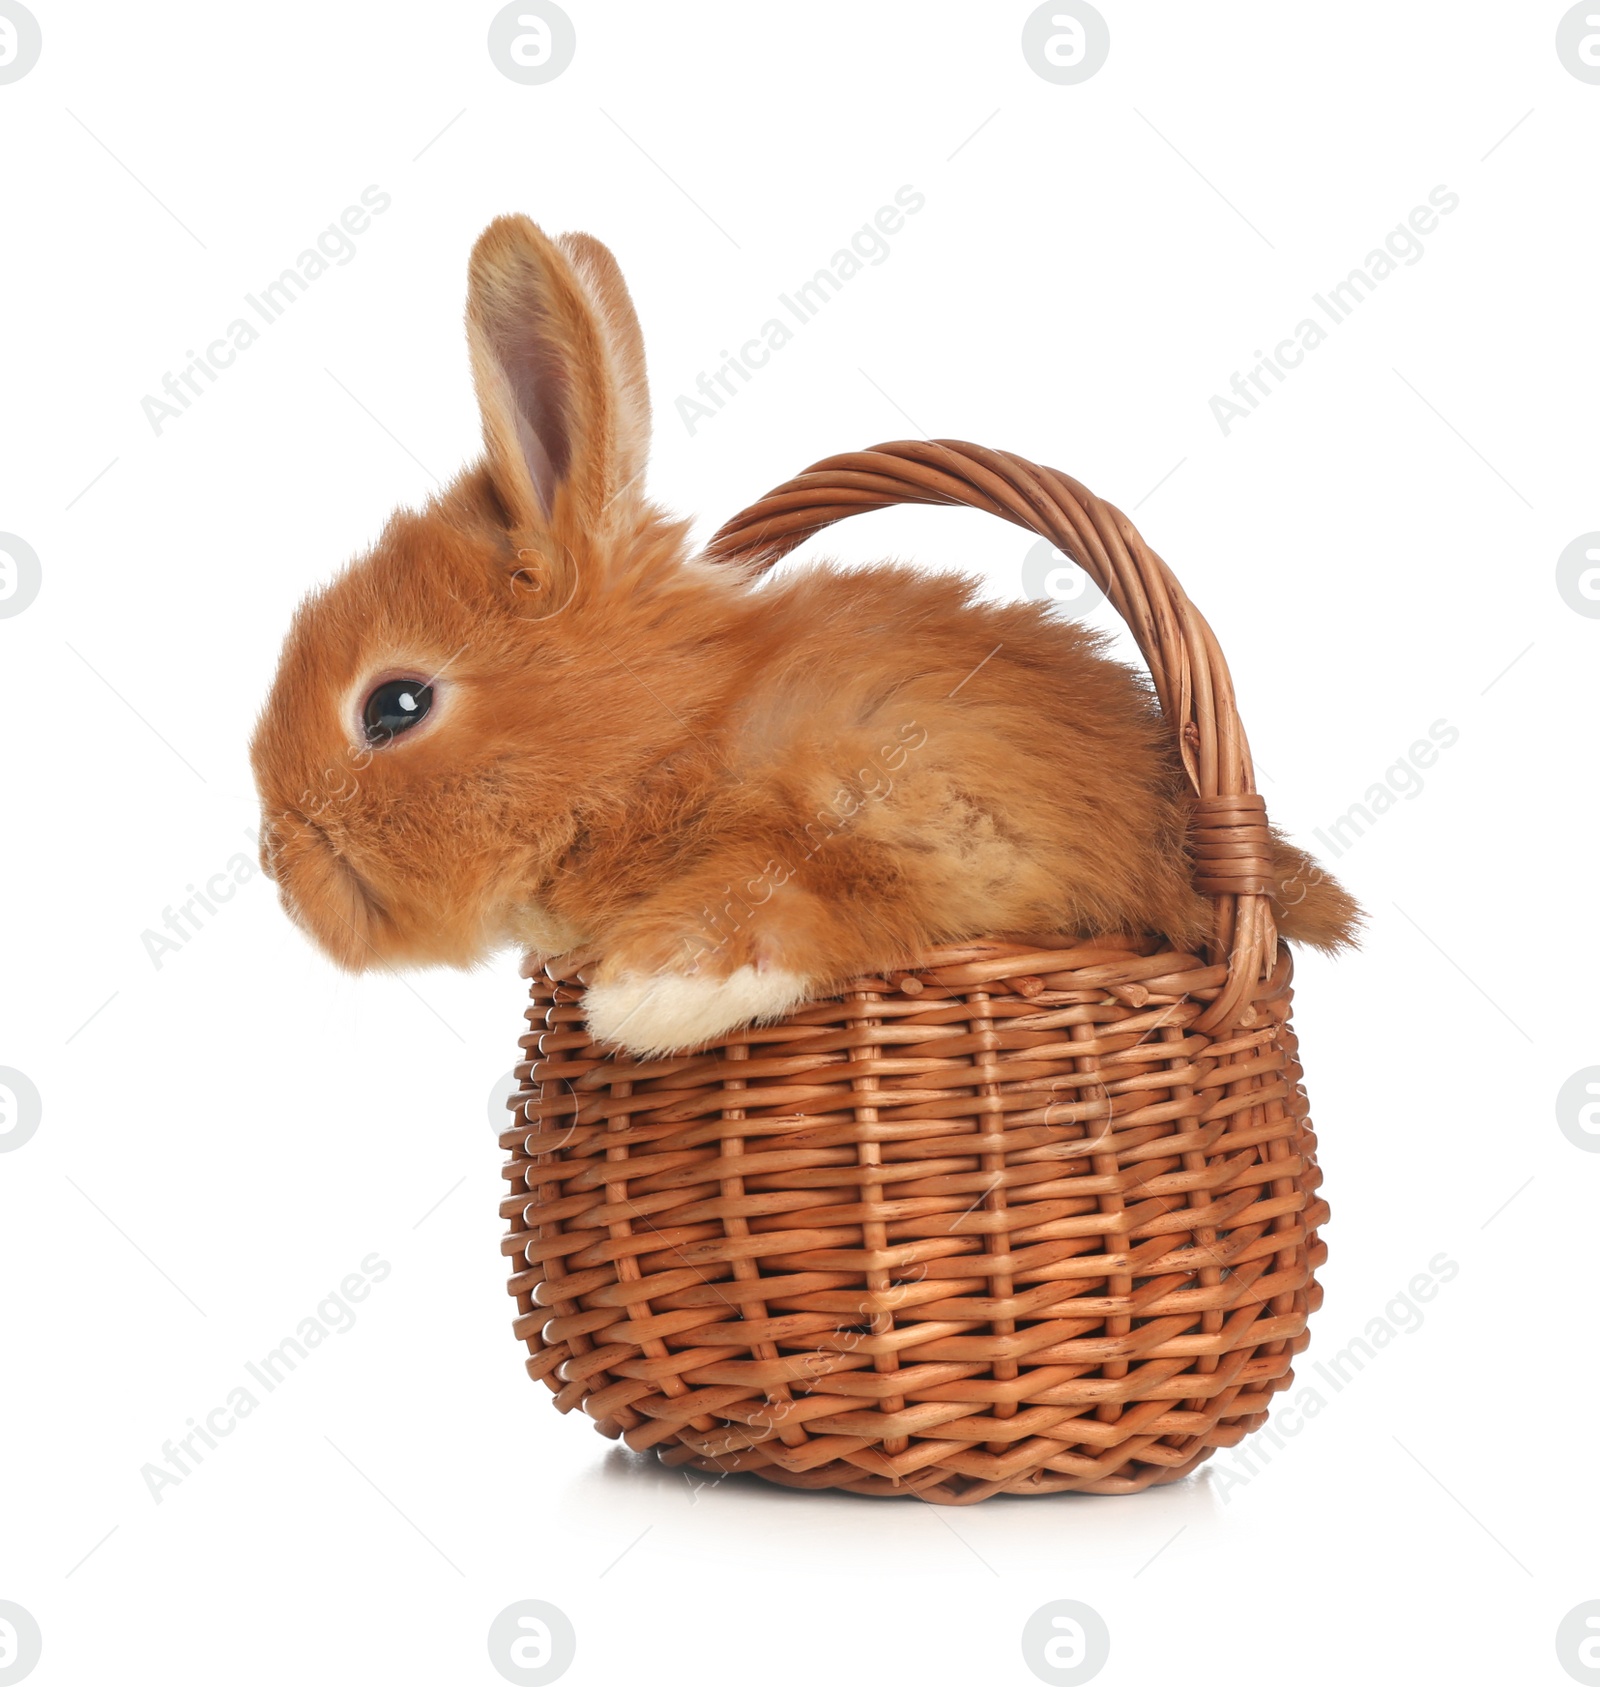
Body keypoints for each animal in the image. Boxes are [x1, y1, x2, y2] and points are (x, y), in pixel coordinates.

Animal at [253, 210, 1363, 1052]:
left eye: (396, 704)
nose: (279, 868)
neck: (667, 738)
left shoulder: (921, 816)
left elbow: (785, 892)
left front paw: (649, 991)